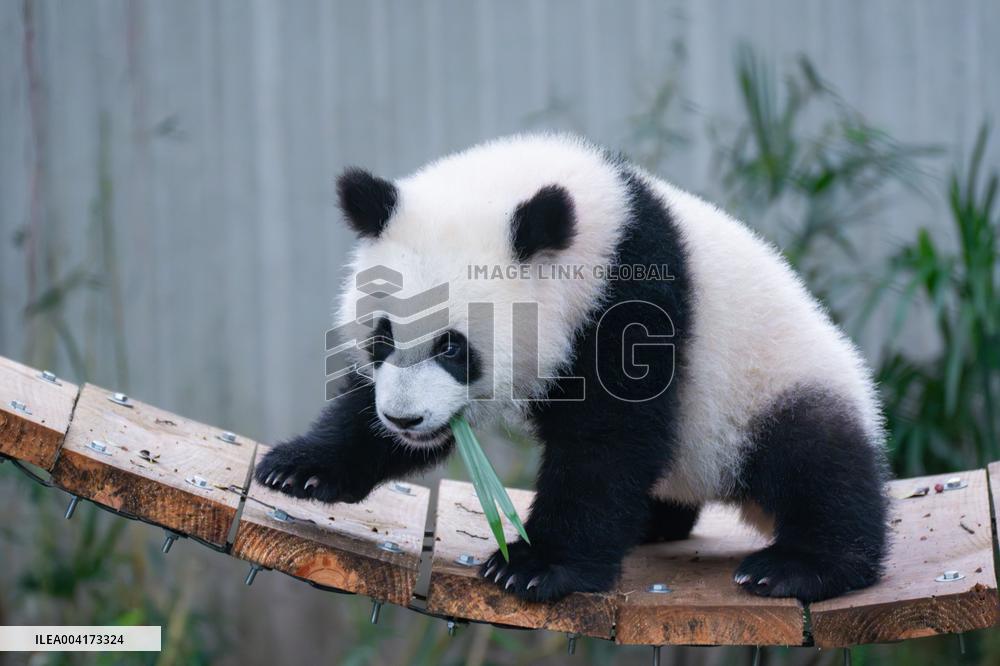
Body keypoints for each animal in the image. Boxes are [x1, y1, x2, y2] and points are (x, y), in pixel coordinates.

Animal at [255, 133, 889, 603]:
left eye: (453, 348)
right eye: (383, 335)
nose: (405, 420)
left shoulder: (634, 298)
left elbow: (609, 439)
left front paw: (533, 565)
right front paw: (299, 468)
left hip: (776, 384)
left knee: (818, 463)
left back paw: (795, 566)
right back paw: (653, 523)